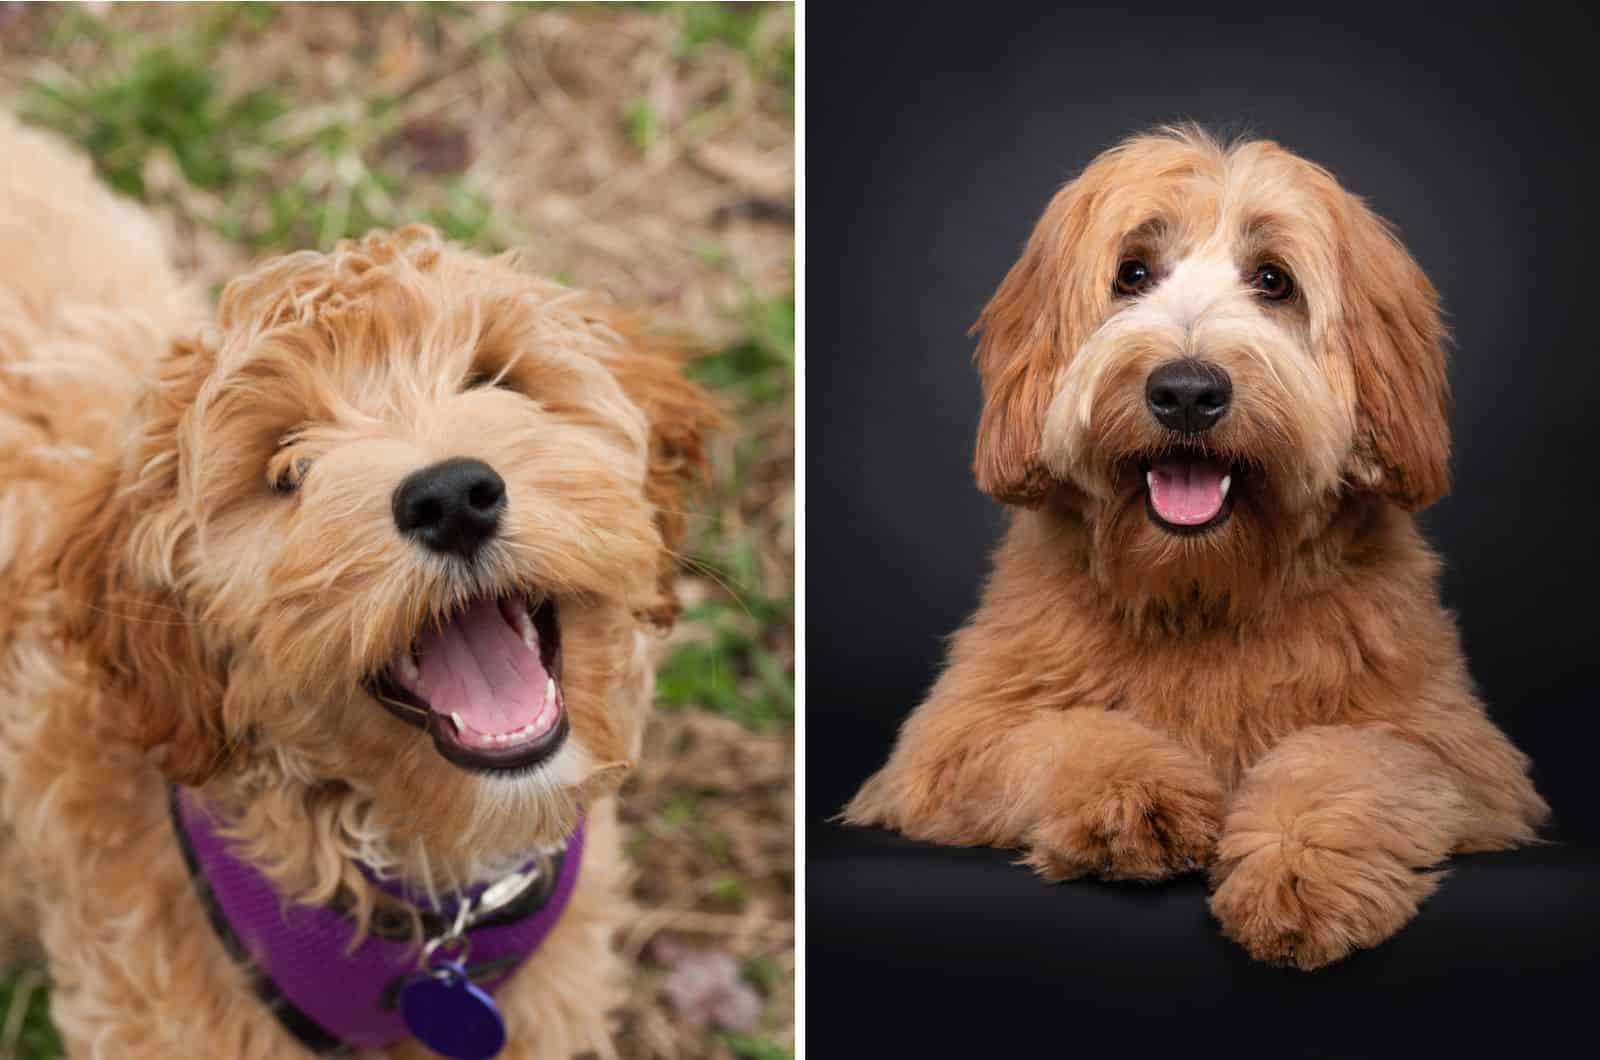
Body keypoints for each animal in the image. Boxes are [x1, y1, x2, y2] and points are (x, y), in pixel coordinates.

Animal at [851, 126, 1548, 973]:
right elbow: (1065, 733)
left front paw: (1296, 876)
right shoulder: (947, 744)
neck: (1200, 590)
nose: (1186, 392)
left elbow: (1345, 760)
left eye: (1274, 281)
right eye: (1132, 273)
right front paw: (1137, 802)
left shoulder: (1457, 751)